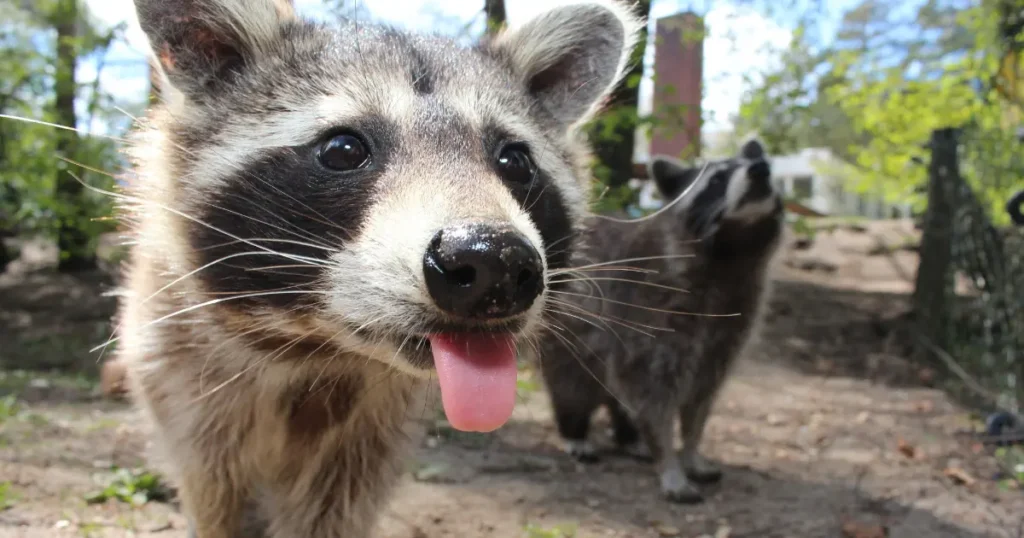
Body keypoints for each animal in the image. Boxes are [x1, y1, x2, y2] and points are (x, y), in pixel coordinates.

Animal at [117, 2, 638, 532]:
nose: (494, 261)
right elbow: (215, 493)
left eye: (515, 160)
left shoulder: (370, 435)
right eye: (343, 149)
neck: (321, 350)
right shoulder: (181, 378)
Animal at [536, 136, 782, 502]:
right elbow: (652, 395)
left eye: (763, 166)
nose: (760, 169)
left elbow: (701, 397)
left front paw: (691, 449)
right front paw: (668, 460)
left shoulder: (730, 325)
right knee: (572, 385)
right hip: (568, 335)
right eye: (716, 181)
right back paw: (575, 431)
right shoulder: (648, 309)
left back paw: (627, 436)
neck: (732, 253)